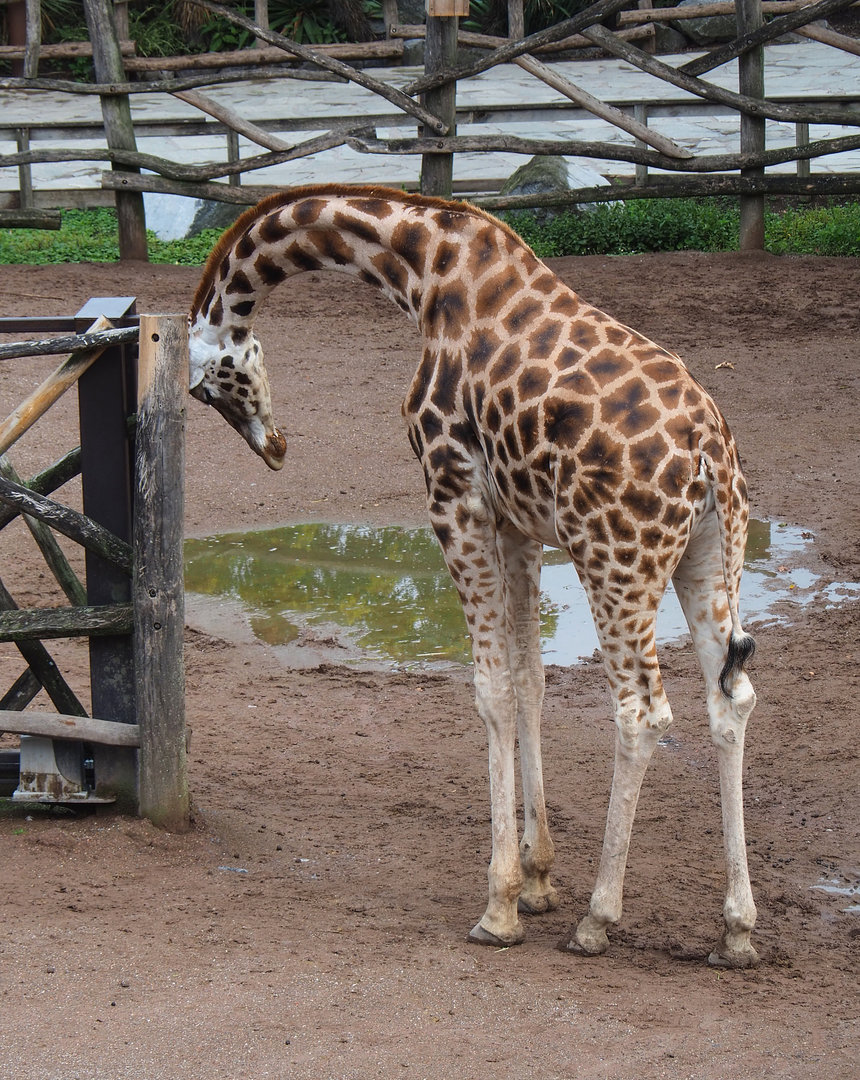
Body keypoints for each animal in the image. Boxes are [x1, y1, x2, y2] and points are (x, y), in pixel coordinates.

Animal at [189, 184, 759, 969]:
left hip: (616, 560)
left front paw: (501, 905)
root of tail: (709, 455)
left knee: (642, 712)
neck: (422, 270)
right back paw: (736, 930)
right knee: (729, 698)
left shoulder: (452, 493)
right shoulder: (518, 521)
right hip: (711, 556)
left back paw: (598, 920)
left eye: (207, 386)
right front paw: (539, 878)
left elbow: (491, 691)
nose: (271, 447)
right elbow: (530, 680)